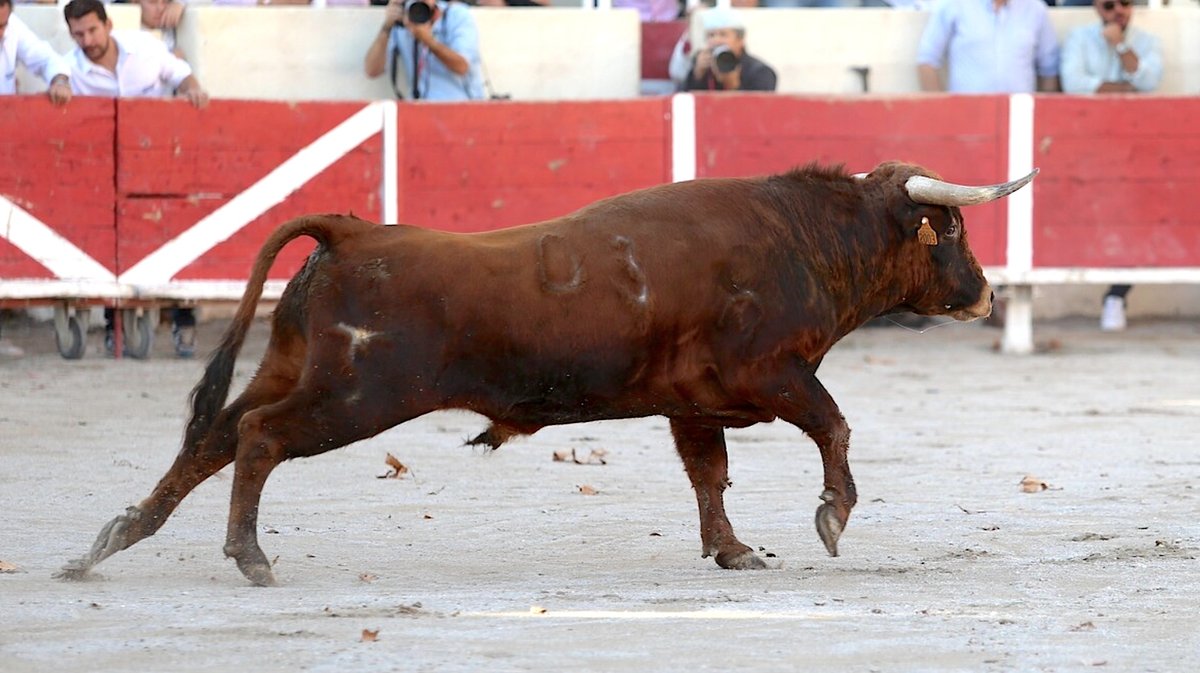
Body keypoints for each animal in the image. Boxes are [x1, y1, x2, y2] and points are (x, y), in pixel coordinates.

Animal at [58, 161, 1032, 583]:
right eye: (952, 230)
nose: (987, 292)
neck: (800, 238)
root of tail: (353, 232)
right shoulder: (773, 375)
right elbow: (833, 424)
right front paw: (830, 517)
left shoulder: (695, 403)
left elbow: (709, 477)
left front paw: (732, 549)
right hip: (356, 398)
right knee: (257, 438)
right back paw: (249, 556)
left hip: (300, 369)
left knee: (214, 438)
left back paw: (110, 540)